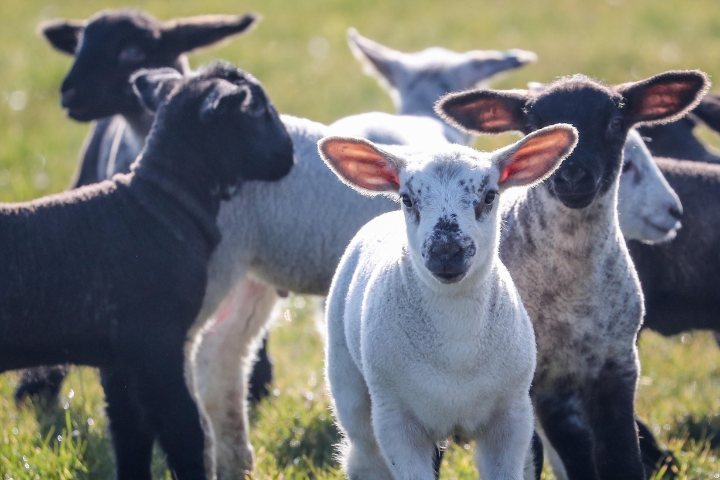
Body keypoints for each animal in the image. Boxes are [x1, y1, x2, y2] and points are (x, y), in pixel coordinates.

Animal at [0, 61, 292, 480]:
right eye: (260, 112)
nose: (289, 155)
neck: (159, 205)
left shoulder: (120, 362)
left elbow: (130, 433)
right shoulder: (157, 345)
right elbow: (184, 431)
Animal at [320, 124, 580, 480]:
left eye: (489, 195)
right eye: (408, 199)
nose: (446, 252)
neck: (457, 347)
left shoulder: (511, 416)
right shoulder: (396, 420)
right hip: (349, 385)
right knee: (364, 455)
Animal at [438, 69, 708, 478]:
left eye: (615, 122)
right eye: (534, 125)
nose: (573, 178)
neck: (570, 296)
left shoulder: (616, 366)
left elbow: (620, 456)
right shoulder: (531, 382)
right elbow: (533, 458)